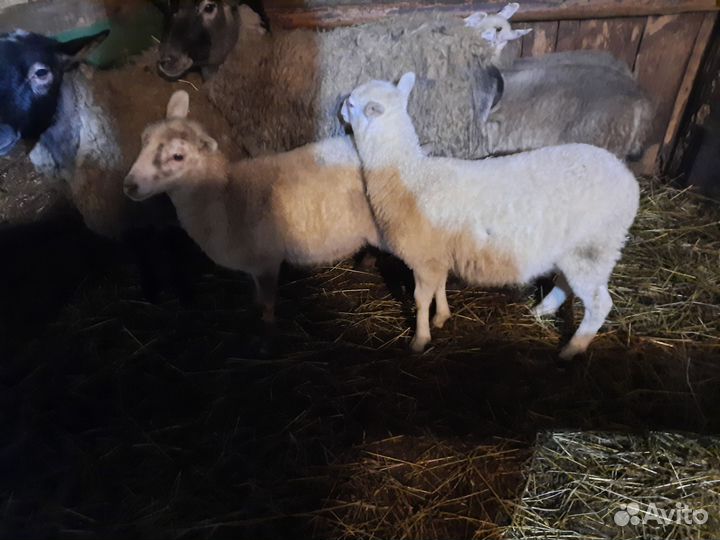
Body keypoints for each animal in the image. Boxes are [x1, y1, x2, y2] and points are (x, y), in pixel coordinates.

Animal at [123, 90, 382, 322]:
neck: (224, 197)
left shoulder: (266, 262)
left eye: (178, 156)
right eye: (144, 140)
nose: (129, 185)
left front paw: (266, 329)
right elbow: (256, 294)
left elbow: (267, 303)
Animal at [341, 73, 639, 359]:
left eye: (352, 104)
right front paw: (442, 317)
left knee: (599, 303)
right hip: (576, 250)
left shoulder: (425, 257)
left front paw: (419, 340)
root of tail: (629, 180)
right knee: (567, 283)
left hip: (595, 246)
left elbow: (421, 299)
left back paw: (572, 348)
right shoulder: (439, 254)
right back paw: (542, 310)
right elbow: (440, 287)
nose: (340, 109)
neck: (409, 175)